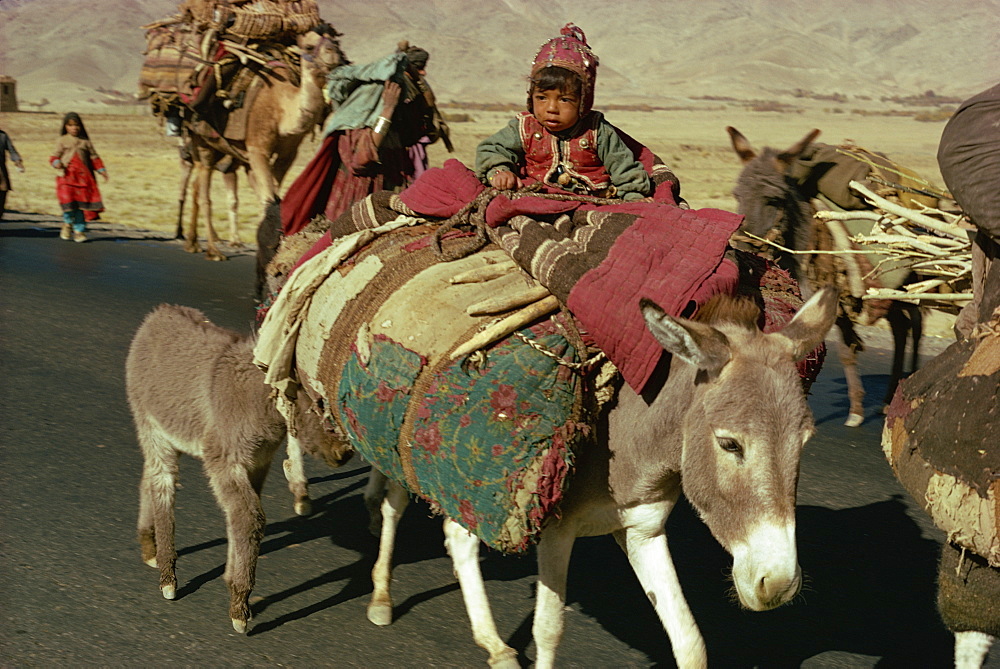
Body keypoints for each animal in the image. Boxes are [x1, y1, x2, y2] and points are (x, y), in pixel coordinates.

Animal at [126, 306, 352, 628]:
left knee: (148, 477)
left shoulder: (257, 463)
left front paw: (232, 582)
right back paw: (168, 578)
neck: (259, 403)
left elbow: (240, 518)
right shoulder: (225, 461)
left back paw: (148, 545)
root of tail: (161, 312)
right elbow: (249, 518)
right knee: (162, 484)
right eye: (314, 406)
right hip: (151, 427)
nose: (343, 454)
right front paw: (239, 606)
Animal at [186, 20, 346, 260]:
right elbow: (268, 198)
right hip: (202, 143)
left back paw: (193, 243)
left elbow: (274, 198)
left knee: (197, 186)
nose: (333, 53)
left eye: (335, 41)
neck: (282, 107)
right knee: (205, 194)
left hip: (221, 150)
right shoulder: (257, 149)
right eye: (309, 46)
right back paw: (214, 250)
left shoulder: (288, 153)